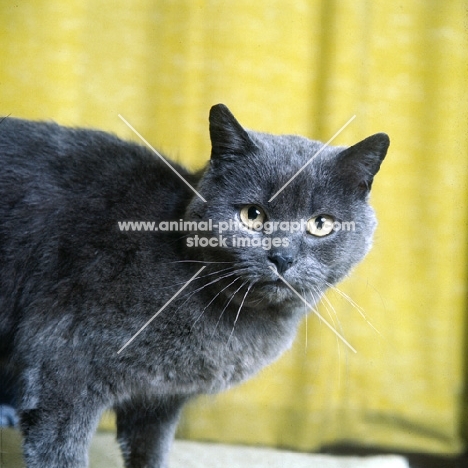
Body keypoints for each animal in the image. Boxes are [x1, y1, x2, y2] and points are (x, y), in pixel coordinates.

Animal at [0, 104, 388, 466]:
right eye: (252, 215)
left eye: (321, 224)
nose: (282, 256)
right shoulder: (61, 372)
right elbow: (60, 451)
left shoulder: (158, 399)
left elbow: (150, 452)